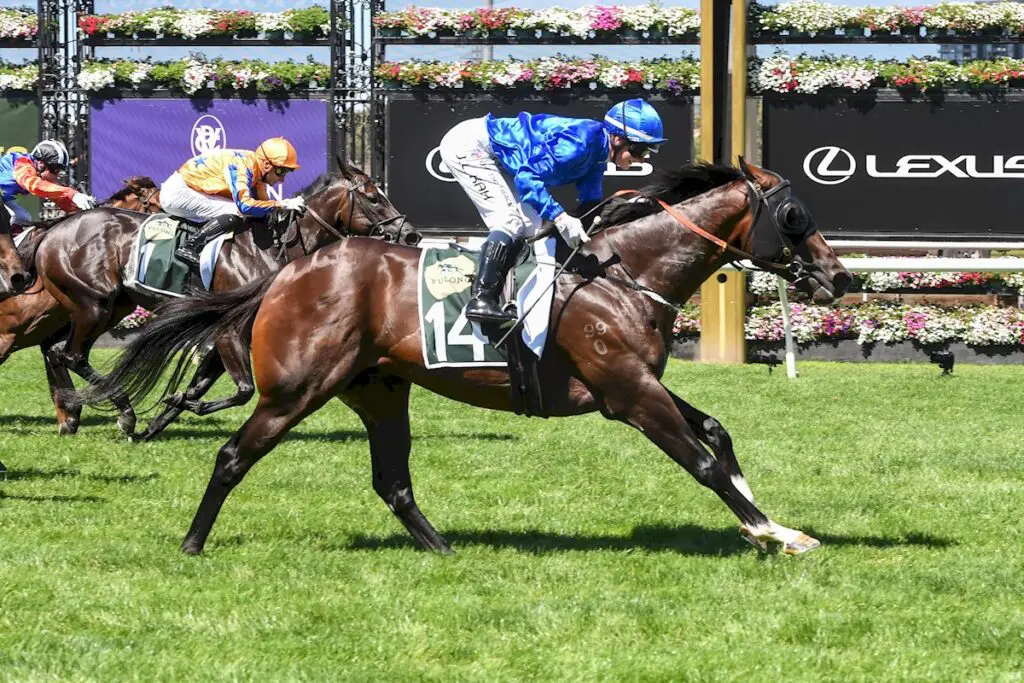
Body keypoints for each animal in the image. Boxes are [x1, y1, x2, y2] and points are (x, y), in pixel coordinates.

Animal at [39, 158, 415, 438]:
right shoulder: (229, 331)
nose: (410, 234)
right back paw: (122, 411)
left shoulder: (230, 332)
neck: (273, 246)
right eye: (373, 197)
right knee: (71, 355)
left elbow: (200, 386)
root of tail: (55, 229)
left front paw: (165, 415)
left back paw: (72, 416)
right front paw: (176, 409)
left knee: (57, 351)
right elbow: (244, 390)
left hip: (112, 306)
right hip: (94, 304)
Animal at [81, 160, 847, 557]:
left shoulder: (633, 383)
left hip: (380, 389)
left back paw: (444, 549)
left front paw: (764, 522)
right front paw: (772, 531)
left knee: (392, 481)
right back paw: (191, 542)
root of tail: (287, 272)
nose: (839, 277)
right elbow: (704, 461)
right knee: (233, 455)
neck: (624, 272)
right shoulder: (628, 392)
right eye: (795, 217)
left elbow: (716, 431)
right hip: (296, 389)